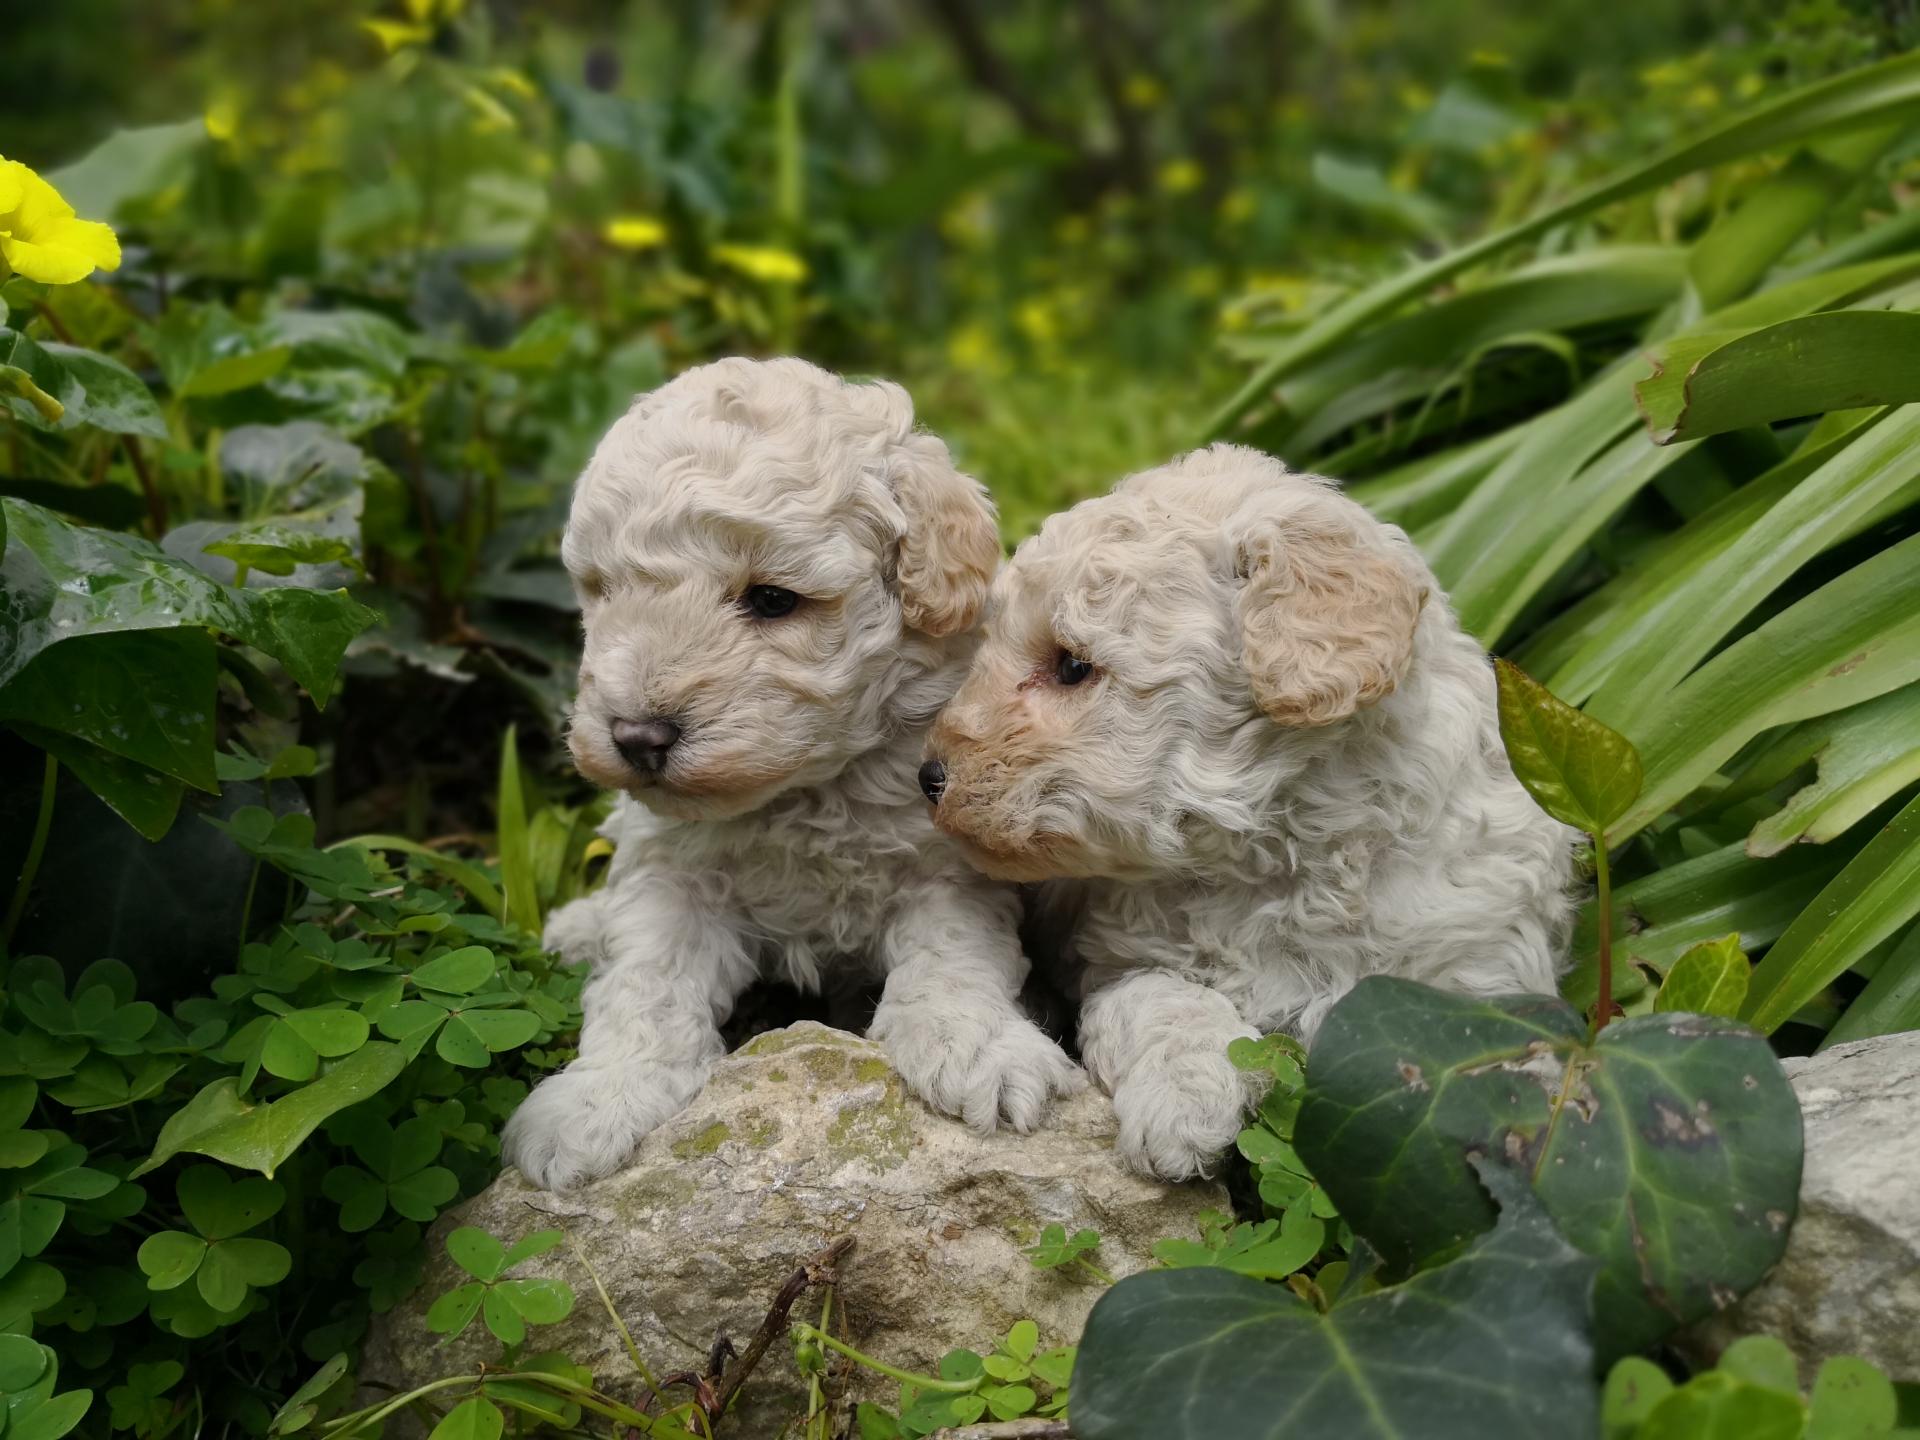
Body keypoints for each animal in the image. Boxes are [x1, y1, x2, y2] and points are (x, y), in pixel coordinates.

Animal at [503, 355, 1090, 1190]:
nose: (637, 737)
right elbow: (646, 983)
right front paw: (598, 1097)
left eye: (773, 599)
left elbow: (951, 961)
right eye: (605, 591)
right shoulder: (673, 873)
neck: (804, 789)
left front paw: (982, 1048)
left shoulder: (945, 863)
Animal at [917, 449, 1574, 1182]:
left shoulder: (1482, 965)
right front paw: (1181, 1106)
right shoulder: (1126, 961)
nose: (929, 776)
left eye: (1073, 667)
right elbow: (1171, 1003)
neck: (1288, 852)